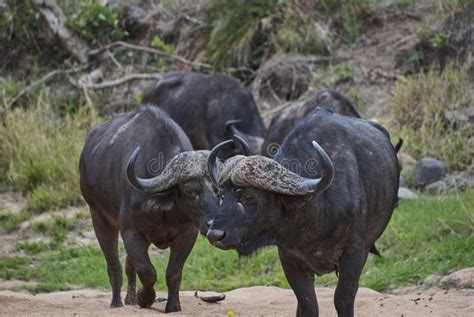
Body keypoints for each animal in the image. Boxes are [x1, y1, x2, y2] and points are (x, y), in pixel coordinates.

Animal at [207, 107, 400, 316]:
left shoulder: (355, 252)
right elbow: (307, 303)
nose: (215, 235)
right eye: (221, 195)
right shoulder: (289, 258)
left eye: (248, 197)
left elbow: (343, 298)